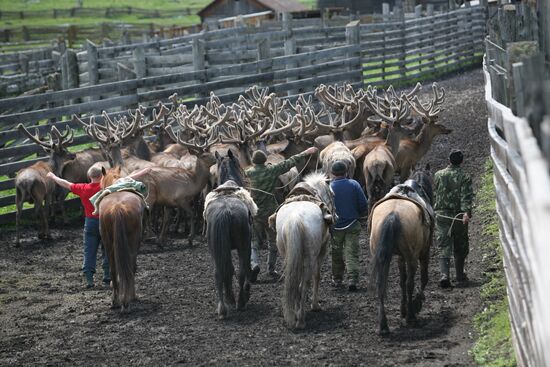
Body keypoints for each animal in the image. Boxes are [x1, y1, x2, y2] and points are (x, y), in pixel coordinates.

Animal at [98, 167, 147, 314]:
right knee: (130, 267)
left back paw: (116, 301)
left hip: (108, 243)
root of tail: (117, 207)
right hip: (133, 241)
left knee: (114, 270)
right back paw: (128, 300)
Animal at [203, 150, 256, 320]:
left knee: (219, 273)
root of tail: (226, 211)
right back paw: (240, 301)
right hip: (242, 245)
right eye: (239, 162)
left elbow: (229, 269)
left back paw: (223, 308)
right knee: (241, 271)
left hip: (215, 248)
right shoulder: (246, 244)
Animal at [272, 172, 336, 330]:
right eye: (333, 194)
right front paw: (315, 305)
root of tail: (295, 219)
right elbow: (317, 276)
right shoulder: (322, 250)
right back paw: (300, 320)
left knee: (294, 283)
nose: (336, 216)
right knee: (305, 282)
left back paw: (295, 314)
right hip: (311, 258)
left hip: (288, 255)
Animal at [370, 165, 436, 334]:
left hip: (380, 256)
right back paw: (411, 316)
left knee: (381, 285)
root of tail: (392, 215)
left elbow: (401, 280)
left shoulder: (400, 257)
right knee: (410, 283)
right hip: (412, 258)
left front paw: (403, 309)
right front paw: (416, 303)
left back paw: (383, 325)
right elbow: (423, 278)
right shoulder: (424, 251)